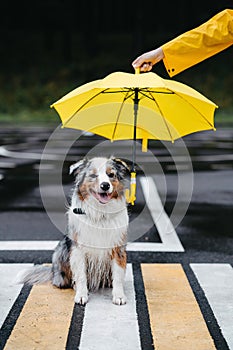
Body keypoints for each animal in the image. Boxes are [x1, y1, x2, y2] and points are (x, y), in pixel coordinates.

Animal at [18, 157, 129, 304]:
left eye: (111, 175)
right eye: (93, 175)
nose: (105, 185)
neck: (100, 213)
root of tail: (52, 272)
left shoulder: (117, 248)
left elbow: (118, 275)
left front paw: (119, 296)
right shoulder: (78, 249)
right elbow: (81, 275)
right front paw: (81, 295)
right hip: (61, 251)